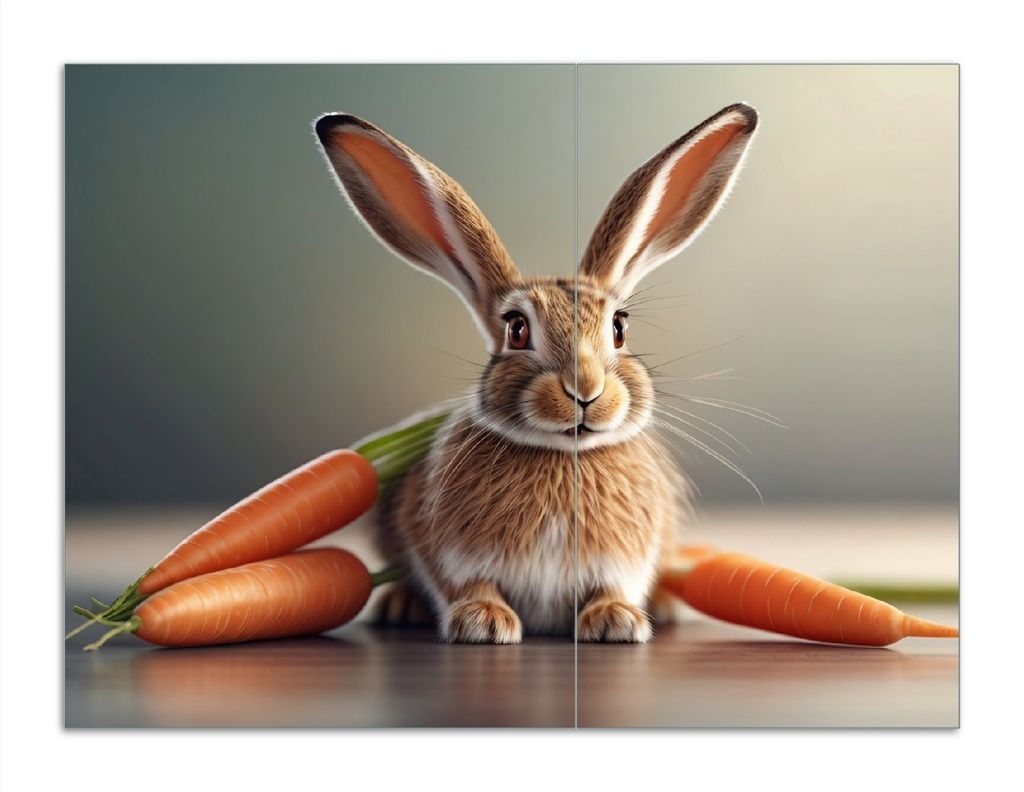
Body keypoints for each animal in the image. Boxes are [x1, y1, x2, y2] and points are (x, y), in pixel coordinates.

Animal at [314, 102, 759, 643]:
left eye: (619, 328)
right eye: (517, 329)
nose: (585, 390)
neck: (562, 455)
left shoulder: (625, 560)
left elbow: (614, 588)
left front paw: (617, 621)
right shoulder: (447, 551)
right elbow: (466, 585)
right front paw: (483, 623)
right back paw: (401, 606)